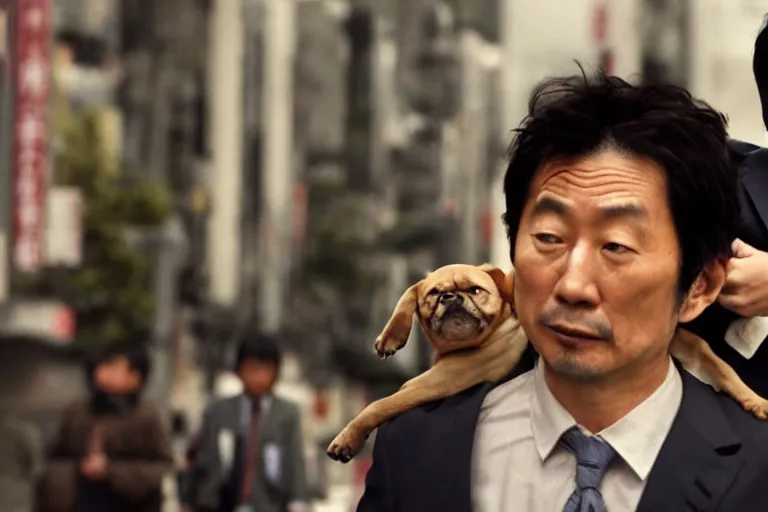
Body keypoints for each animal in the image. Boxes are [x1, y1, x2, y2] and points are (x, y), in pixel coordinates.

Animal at [328, 264, 768, 464]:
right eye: (436, 294)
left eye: (476, 290)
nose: (451, 299)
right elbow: (407, 294)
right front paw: (392, 336)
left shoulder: (434, 382)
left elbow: (379, 404)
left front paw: (348, 439)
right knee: (723, 373)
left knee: (727, 374)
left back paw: (756, 401)